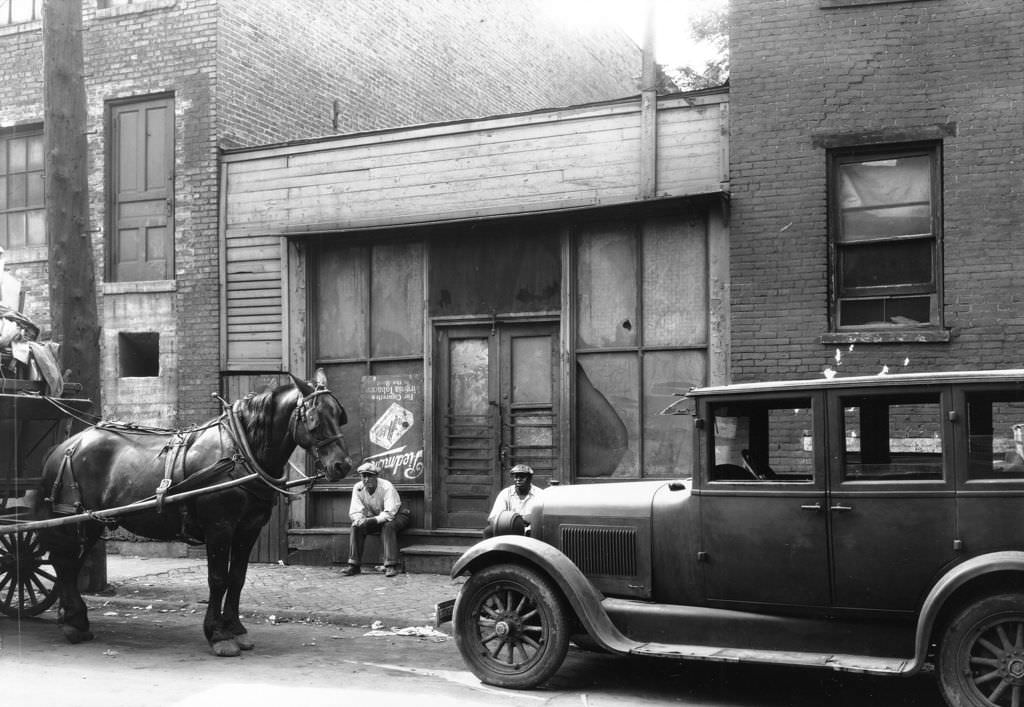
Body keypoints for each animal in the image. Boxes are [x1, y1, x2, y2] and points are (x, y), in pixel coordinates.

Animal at [34, 368, 354, 655]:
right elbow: (218, 579)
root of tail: (66, 445)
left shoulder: (249, 528)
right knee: (64, 562)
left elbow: (237, 578)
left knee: (69, 565)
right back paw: (73, 623)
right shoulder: (220, 527)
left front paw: (236, 629)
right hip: (73, 520)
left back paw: (74, 620)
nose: (342, 466)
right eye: (314, 419)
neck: (241, 452)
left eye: (339, 415)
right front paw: (218, 635)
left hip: (93, 522)